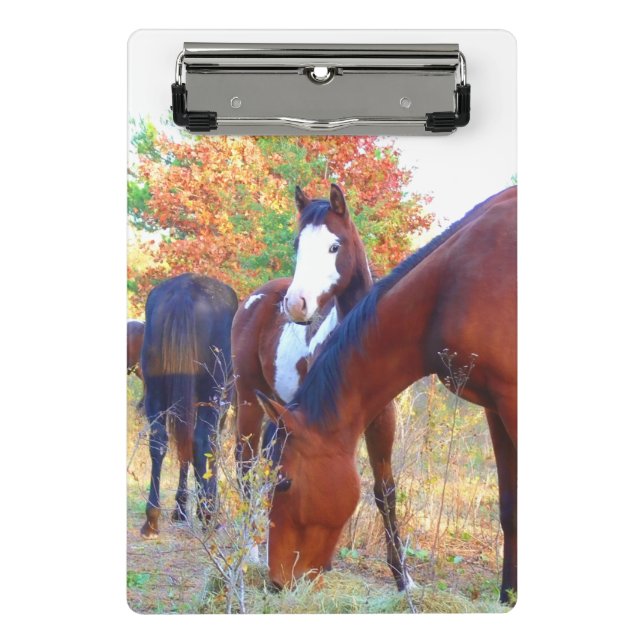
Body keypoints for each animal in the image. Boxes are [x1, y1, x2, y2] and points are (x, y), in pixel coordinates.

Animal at [140, 273, 238, 539]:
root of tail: (184, 292)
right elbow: (208, 447)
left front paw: (180, 509)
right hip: (210, 390)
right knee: (202, 440)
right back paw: (208, 516)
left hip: (155, 388)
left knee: (159, 441)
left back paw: (152, 520)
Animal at [232, 184, 412, 589]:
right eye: (298, 244)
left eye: (334, 246)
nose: (296, 305)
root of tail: (256, 298)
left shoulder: (381, 420)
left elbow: (385, 491)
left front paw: (404, 578)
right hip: (248, 401)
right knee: (245, 466)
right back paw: (249, 552)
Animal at [257, 186, 517, 604]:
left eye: (285, 483)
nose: (278, 581)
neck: (450, 289)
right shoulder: (496, 406)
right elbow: (509, 508)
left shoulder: (508, 401)